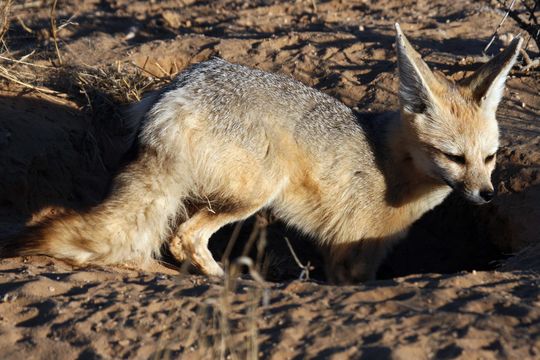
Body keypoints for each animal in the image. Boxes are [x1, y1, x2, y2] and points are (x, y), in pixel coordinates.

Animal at [1, 26, 524, 284]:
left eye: (490, 158)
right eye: (454, 157)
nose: (485, 194)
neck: (391, 166)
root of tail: (178, 91)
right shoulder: (352, 254)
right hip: (255, 193)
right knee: (184, 238)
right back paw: (226, 280)